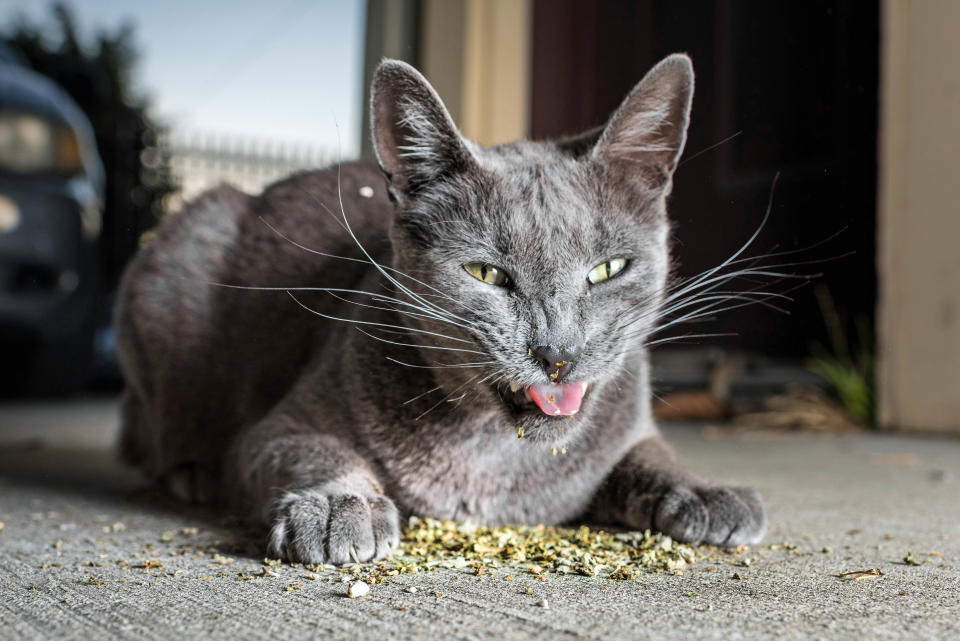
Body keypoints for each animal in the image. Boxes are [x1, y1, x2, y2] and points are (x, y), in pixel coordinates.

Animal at [118, 56, 764, 564]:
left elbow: (651, 453)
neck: (492, 454)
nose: (558, 353)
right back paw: (192, 473)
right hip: (183, 252)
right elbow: (312, 449)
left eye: (608, 270)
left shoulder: (630, 426)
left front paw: (706, 493)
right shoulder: (275, 428)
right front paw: (339, 507)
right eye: (486, 274)